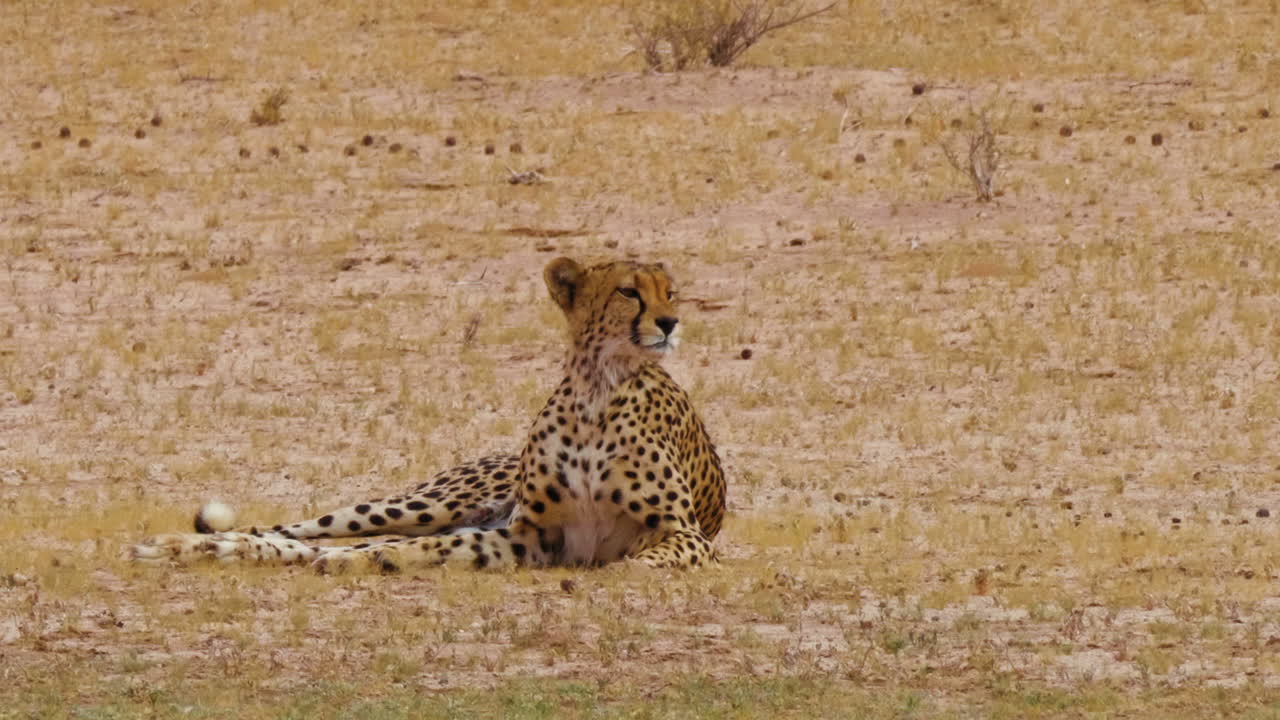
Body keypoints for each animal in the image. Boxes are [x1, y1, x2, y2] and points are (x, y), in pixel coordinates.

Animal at [131, 256, 726, 572]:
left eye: (671, 293)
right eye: (629, 292)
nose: (670, 322)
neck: (597, 391)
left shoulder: (683, 535)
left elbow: (647, 558)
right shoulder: (528, 536)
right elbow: (427, 548)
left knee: (329, 542)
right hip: (417, 504)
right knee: (299, 529)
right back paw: (191, 544)